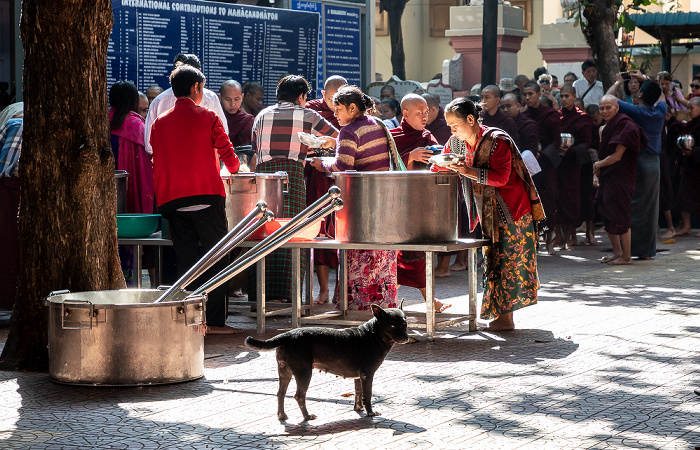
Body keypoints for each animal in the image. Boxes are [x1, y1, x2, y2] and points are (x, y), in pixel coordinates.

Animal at [246, 304, 410, 420]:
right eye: (392, 325)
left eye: (405, 324)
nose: (406, 338)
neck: (374, 334)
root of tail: (287, 334)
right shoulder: (367, 374)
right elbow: (367, 395)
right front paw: (370, 413)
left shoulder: (358, 376)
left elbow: (358, 394)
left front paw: (359, 409)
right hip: (304, 372)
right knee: (299, 396)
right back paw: (307, 416)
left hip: (285, 371)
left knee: (280, 393)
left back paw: (282, 415)